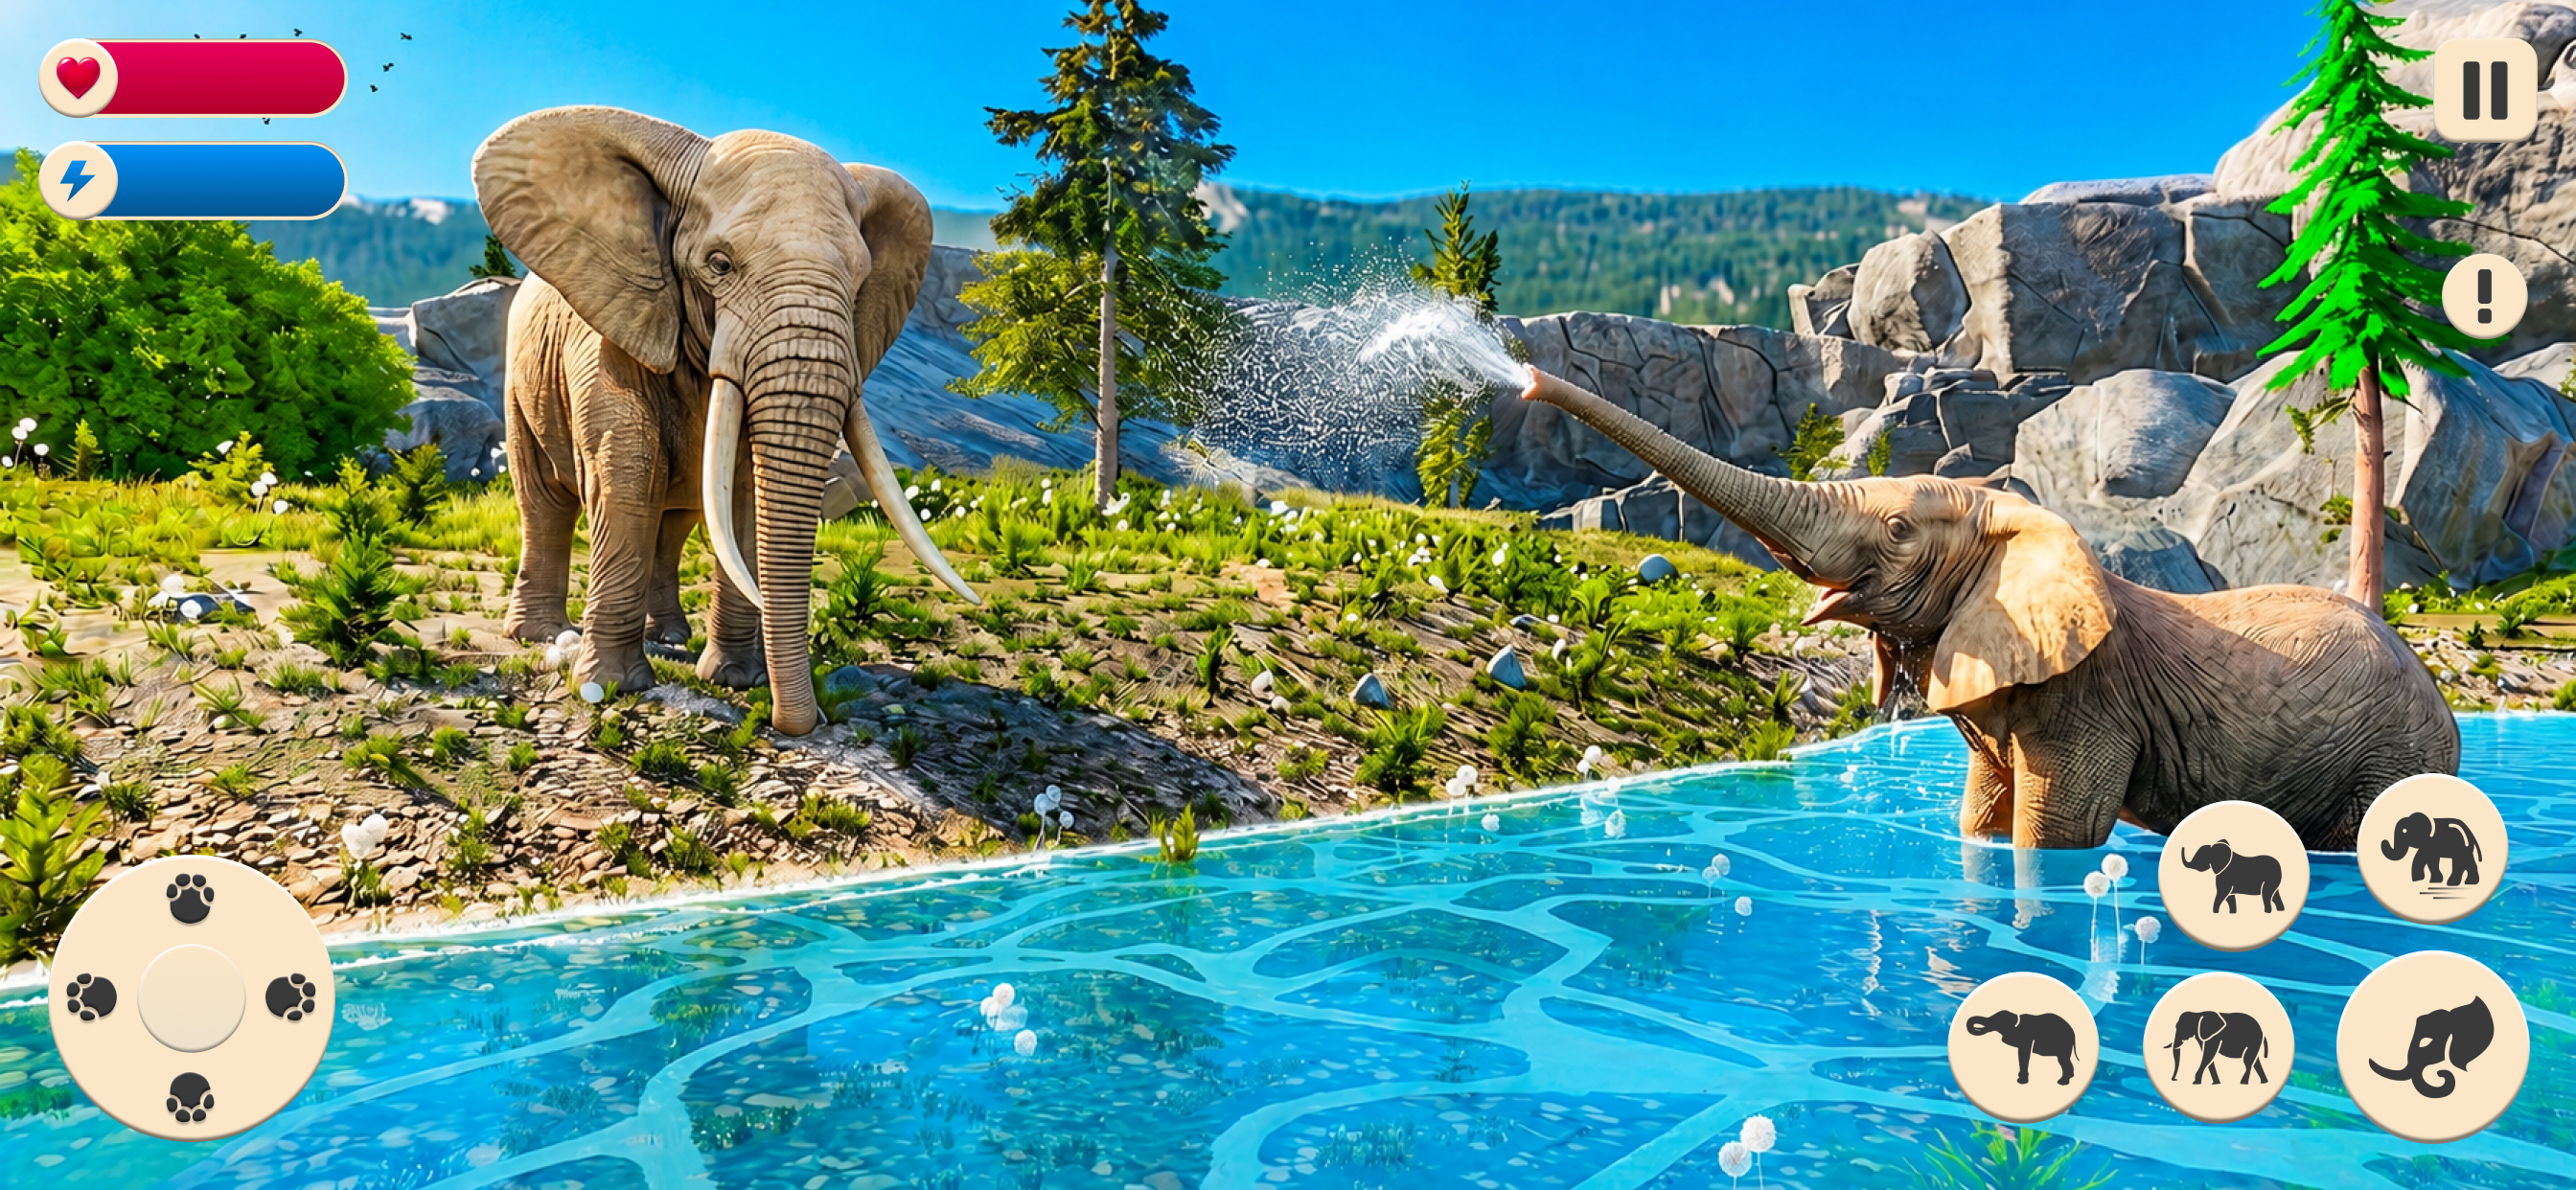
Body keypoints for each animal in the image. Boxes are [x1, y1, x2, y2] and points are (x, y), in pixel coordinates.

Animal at [472, 107, 978, 735]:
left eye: (861, 280)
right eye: (719, 265)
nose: (797, 722)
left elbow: (741, 494)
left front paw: (737, 680)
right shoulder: (611, 331)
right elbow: (628, 475)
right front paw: (611, 687)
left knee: (674, 524)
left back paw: (669, 635)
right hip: (523, 382)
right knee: (544, 503)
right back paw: (541, 634)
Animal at [1516, 369, 2458, 850]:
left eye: (1898, 529)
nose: (1523, 382)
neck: (2013, 519)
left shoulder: (2090, 699)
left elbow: (2058, 831)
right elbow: (1982, 817)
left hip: (2398, 753)